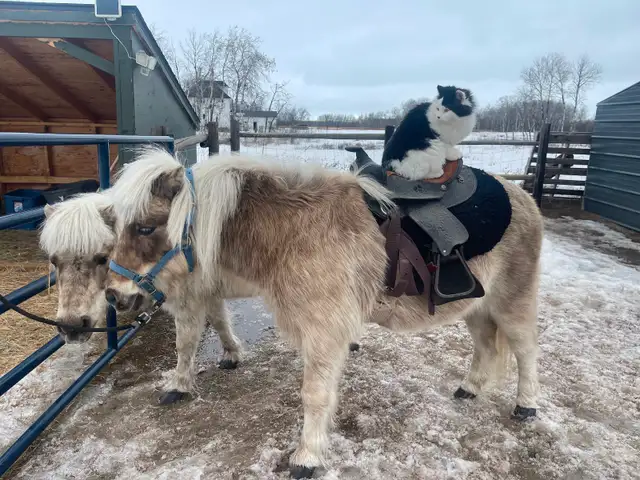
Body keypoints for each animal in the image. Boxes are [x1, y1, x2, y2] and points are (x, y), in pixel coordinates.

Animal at [104, 146, 543, 478]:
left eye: (145, 228)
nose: (113, 295)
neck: (291, 231)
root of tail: (523, 197)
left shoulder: (323, 331)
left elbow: (314, 393)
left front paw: (308, 456)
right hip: (476, 306)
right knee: (486, 346)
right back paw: (470, 388)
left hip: (512, 302)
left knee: (525, 352)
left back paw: (526, 405)